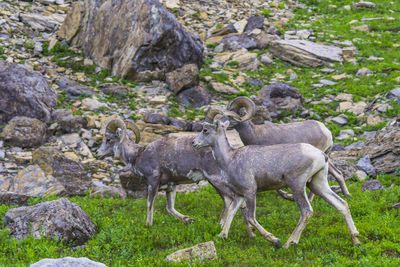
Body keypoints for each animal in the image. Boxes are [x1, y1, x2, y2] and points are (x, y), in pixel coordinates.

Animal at [97, 118, 253, 233]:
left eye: (109, 139)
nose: (98, 153)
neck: (138, 155)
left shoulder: (152, 182)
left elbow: (149, 204)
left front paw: (148, 225)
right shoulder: (170, 187)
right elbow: (170, 208)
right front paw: (189, 220)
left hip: (216, 181)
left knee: (231, 200)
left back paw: (221, 226)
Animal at [192, 120, 360, 250]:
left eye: (205, 130)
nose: (194, 143)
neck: (230, 159)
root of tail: (321, 155)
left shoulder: (250, 191)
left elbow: (251, 218)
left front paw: (275, 241)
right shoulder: (239, 195)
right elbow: (232, 213)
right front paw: (222, 236)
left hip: (297, 185)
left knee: (306, 211)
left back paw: (288, 243)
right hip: (318, 184)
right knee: (341, 204)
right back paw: (356, 239)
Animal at [206, 97, 350, 200]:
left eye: (231, 115)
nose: (219, 124)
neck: (255, 133)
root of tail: (326, 131)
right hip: (326, 158)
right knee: (338, 173)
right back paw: (347, 195)